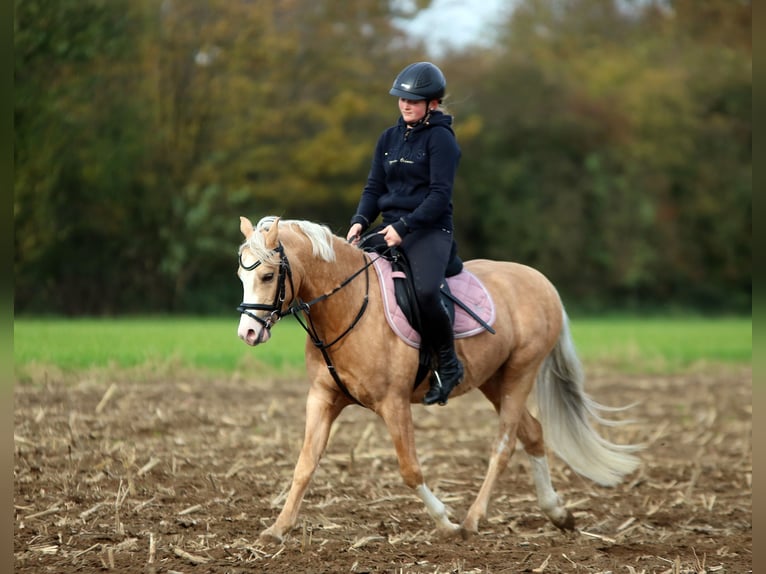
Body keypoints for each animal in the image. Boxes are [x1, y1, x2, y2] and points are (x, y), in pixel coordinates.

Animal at [236, 215, 640, 543]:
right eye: (241, 276)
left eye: (268, 275)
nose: (248, 334)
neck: (348, 305)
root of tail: (540, 280)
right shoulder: (322, 398)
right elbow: (304, 466)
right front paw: (277, 529)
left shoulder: (394, 403)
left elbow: (410, 469)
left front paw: (446, 523)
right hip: (492, 380)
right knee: (533, 433)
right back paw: (558, 513)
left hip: (520, 375)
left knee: (504, 444)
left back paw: (473, 520)